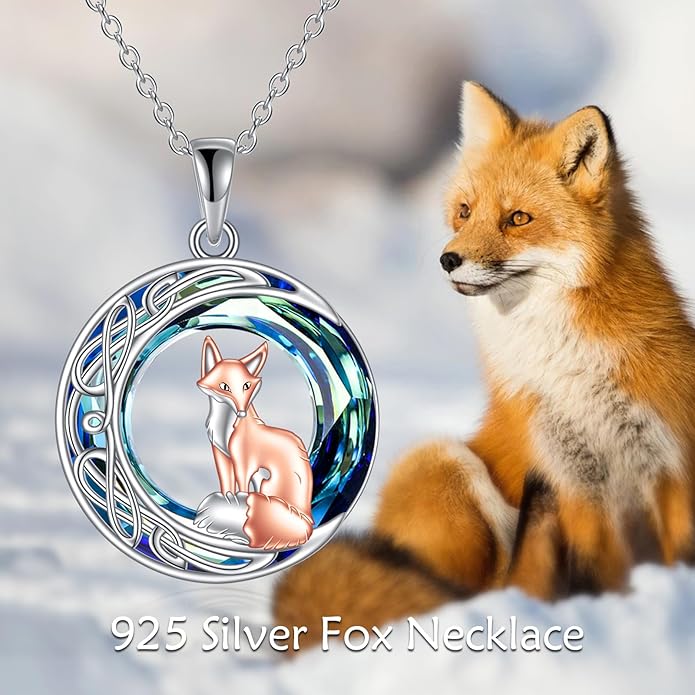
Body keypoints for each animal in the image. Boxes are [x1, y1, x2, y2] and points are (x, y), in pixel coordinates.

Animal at [197, 336, 314, 550]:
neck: (223, 429)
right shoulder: (221, 454)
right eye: (224, 386)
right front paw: (228, 500)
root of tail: (308, 521)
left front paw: (235, 507)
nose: (241, 412)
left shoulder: (245, 461)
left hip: (267, 483)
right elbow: (227, 487)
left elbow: (242, 490)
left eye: (247, 386)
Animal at [273, 81, 695, 644]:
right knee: (502, 588)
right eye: (465, 211)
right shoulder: (577, 485)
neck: (573, 374)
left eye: (518, 219)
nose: (448, 259)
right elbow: (600, 573)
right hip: (440, 462)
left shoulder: (673, 468)